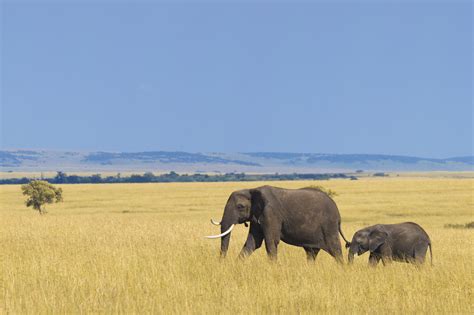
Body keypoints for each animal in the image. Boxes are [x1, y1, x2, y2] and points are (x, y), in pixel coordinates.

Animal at [206, 186, 350, 262]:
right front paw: (237, 264)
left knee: (335, 250)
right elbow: (253, 242)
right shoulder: (257, 217)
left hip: (329, 226)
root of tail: (338, 215)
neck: (252, 190)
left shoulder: (271, 214)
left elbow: (271, 241)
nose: (222, 262)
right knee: (311, 252)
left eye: (240, 206)